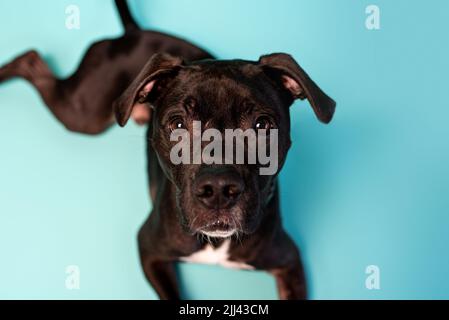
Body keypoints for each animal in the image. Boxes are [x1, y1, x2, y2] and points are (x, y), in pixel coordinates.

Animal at [0, 0, 334, 300]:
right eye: (177, 124)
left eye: (262, 125)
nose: (218, 188)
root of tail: (133, 34)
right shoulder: (149, 248)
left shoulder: (288, 261)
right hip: (84, 112)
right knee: (31, 60)